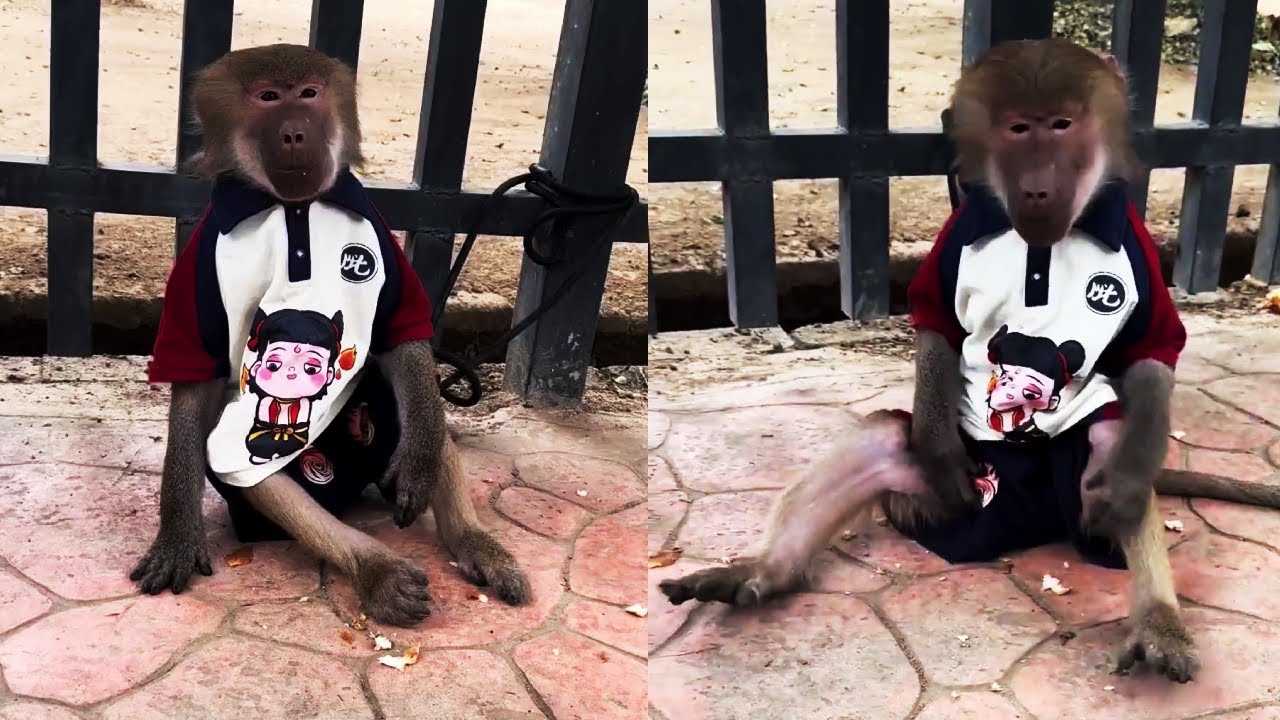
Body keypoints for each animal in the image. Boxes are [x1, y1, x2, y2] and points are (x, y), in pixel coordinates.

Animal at [130, 44, 530, 627]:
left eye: (308, 94)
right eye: (268, 97)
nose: (296, 133)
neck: (292, 206)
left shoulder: (381, 237)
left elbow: (400, 335)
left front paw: (422, 467)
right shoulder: (199, 265)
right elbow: (196, 381)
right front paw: (177, 533)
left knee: (417, 412)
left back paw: (473, 540)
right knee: (255, 471)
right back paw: (377, 571)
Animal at [659, 39, 1280, 684]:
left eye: (1062, 125)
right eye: (1019, 129)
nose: (1038, 189)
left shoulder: (1135, 250)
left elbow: (1151, 352)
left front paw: (1131, 486)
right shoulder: (956, 242)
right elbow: (939, 326)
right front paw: (937, 452)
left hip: (1075, 500)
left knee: (1108, 443)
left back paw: (1158, 620)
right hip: (936, 505)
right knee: (885, 440)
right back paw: (767, 571)